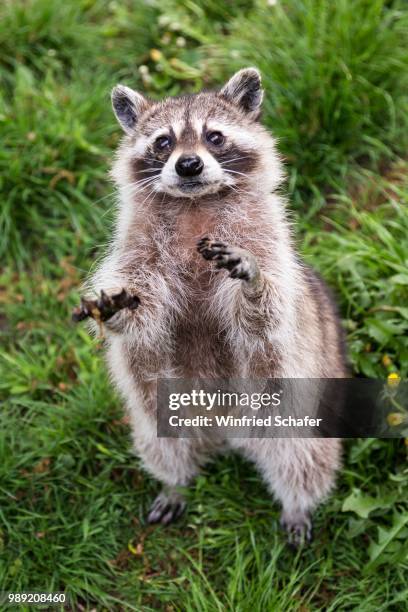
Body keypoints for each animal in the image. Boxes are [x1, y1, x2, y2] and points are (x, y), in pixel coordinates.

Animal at [79, 68, 348, 544]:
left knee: (304, 456)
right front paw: (122, 312)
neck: (195, 204)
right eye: (163, 142)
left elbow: (269, 311)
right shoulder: (138, 252)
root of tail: (225, 433)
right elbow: (142, 314)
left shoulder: (266, 241)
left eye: (215, 137)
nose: (188, 164)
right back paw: (175, 481)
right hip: (161, 415)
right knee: (164, 445)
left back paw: (298, 503)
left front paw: (255, 286)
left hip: (295, 408)